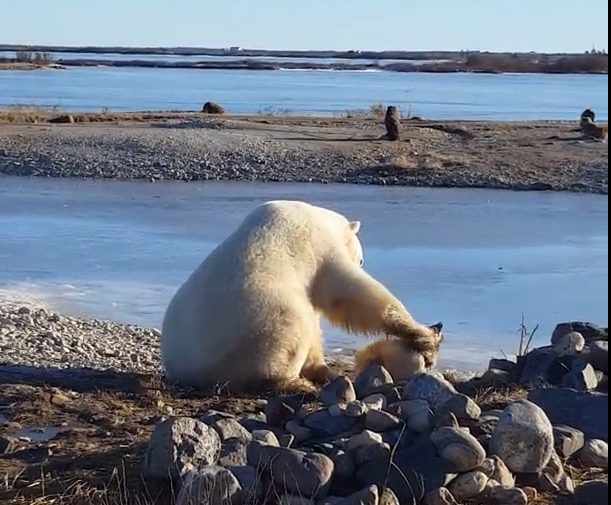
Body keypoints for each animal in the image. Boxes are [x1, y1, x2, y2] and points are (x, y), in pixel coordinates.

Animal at [161, 201, 440, 394]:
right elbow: (349, 294)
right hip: (254, 326)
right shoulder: (319, 247)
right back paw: (297, 383)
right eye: (361, 259)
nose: (361, 261)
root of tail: (188, 371)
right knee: (291, 328)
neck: (319, 218)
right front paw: (425, 334)